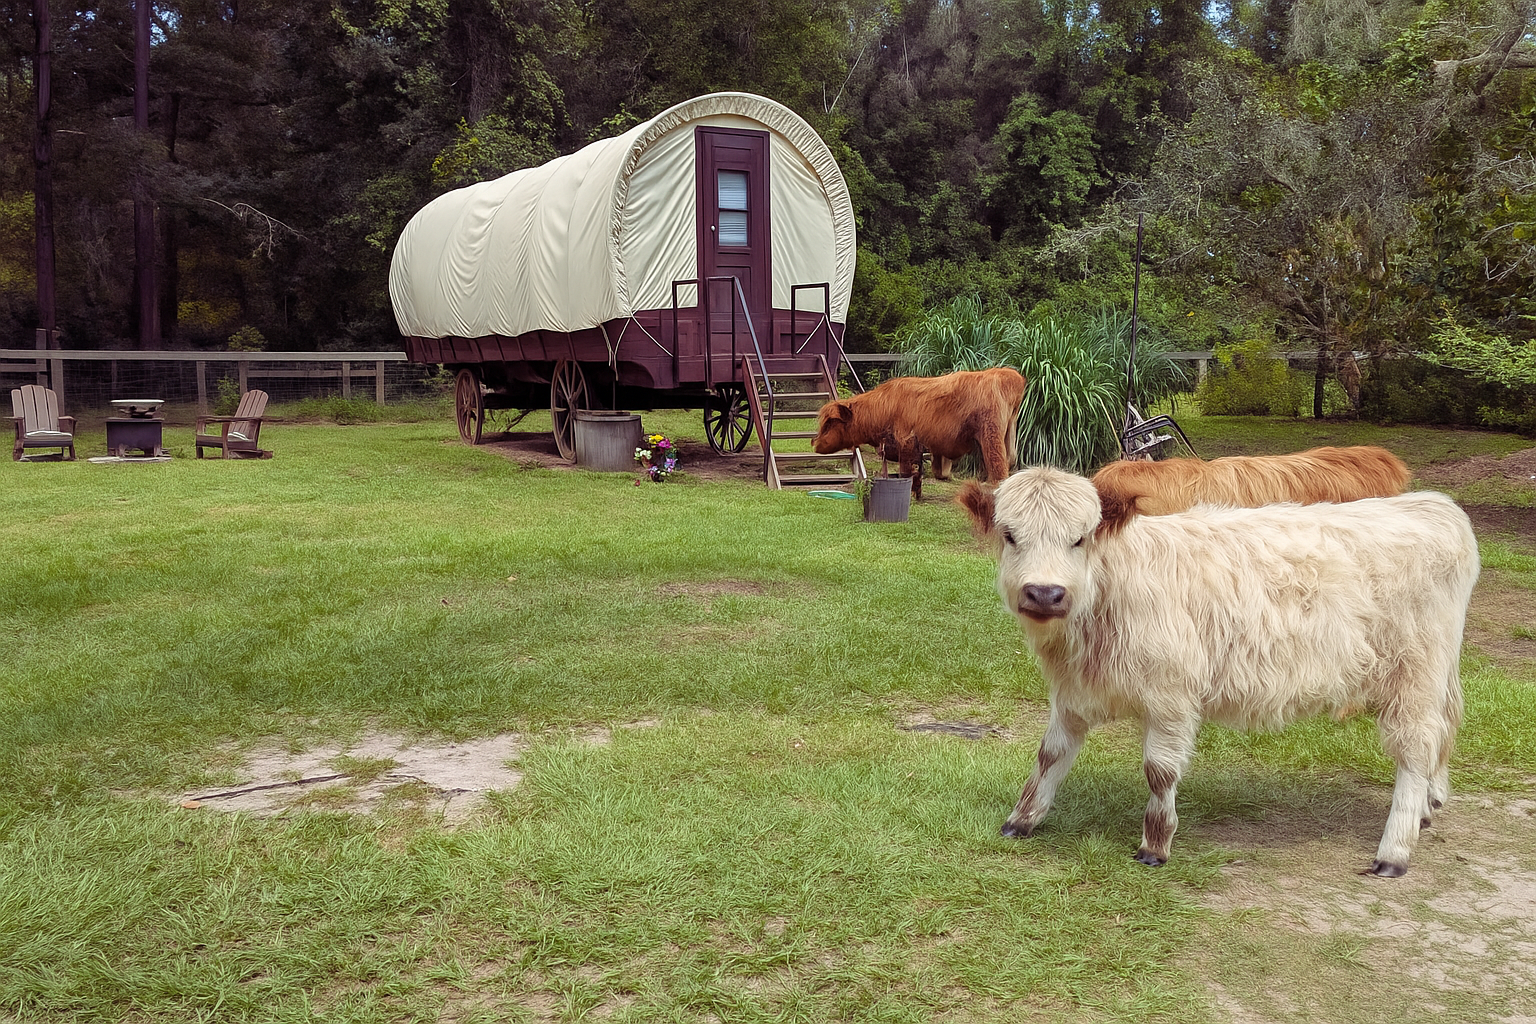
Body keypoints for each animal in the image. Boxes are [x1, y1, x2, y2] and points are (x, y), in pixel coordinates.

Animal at [813, 368, 1027, 498]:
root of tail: (1002, 373)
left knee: (998, 471)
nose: (814, 442)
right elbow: (924, 471)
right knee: (1010, 462)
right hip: (1007, 436)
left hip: (991, 436)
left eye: (830, 423)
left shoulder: (906, 441)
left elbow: (906, 471)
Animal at [957, 468, 1478, 877]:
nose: (1045, 593)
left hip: (1414, 674)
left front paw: (1156, 845)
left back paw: (1394, 851)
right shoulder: (1070, 695)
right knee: (1443, 730)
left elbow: (1159, 772)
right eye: (1010, 535)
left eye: (1079, 538)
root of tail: (1430, 505)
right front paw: (1022, 820)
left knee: (1416, 749)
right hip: (1434, 676)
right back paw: (1429, 807)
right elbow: (1049, 757)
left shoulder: (1171, 696)